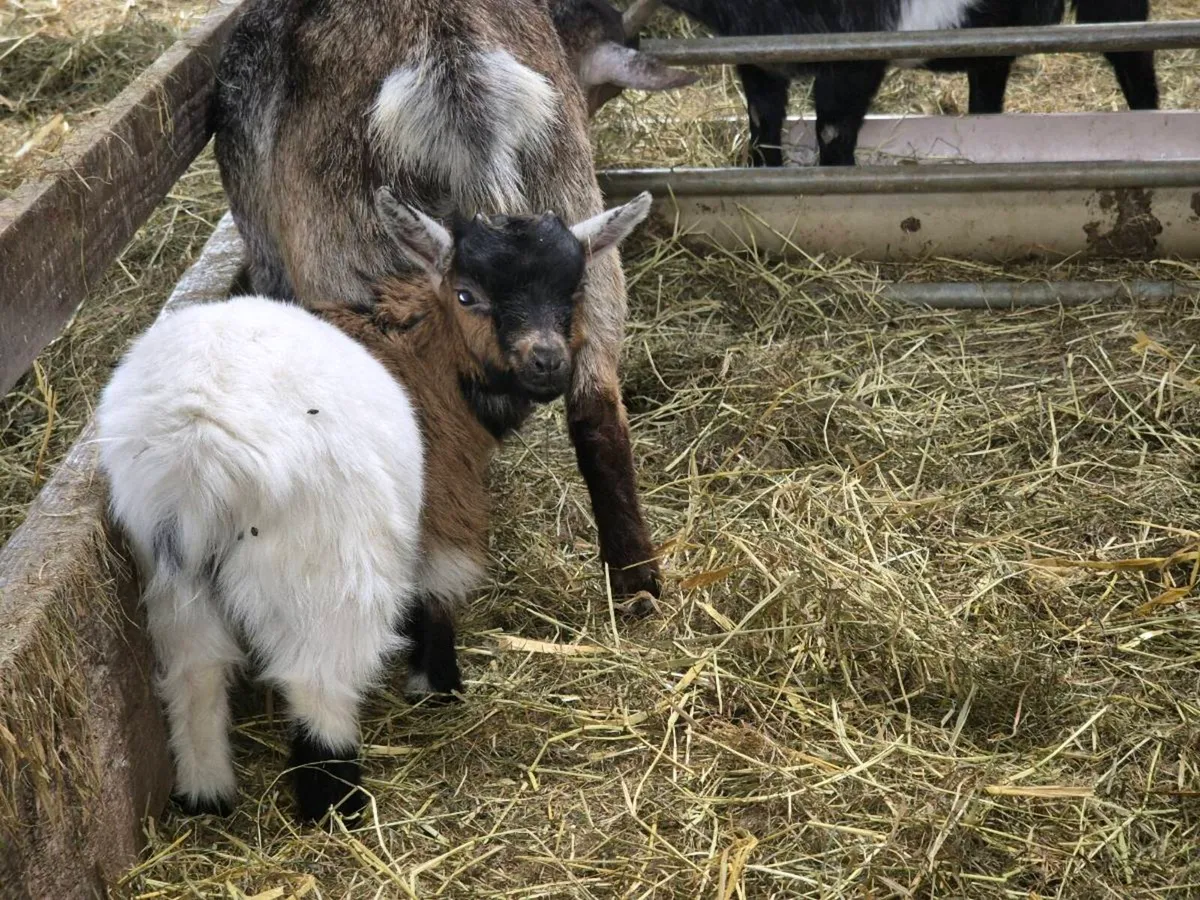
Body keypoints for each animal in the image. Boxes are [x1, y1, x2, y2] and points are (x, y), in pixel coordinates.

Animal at [97, 187, 653, 824]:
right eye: (467, 293)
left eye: (575, 289)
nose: (548, 362)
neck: (419, 348)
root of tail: (198, 444)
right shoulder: (444, 499)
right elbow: (438, 588)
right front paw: (437, 683)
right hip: (327, 557)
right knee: (318, 674)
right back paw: (335, 799)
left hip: (170, 562)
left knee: (196, 670)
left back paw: (206, 795)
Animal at [633, 0, 1158, 166]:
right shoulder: (757, 58)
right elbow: (763, 128)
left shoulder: (855, 59)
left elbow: (833, 132)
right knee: (989, 80)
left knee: (1132, 53)